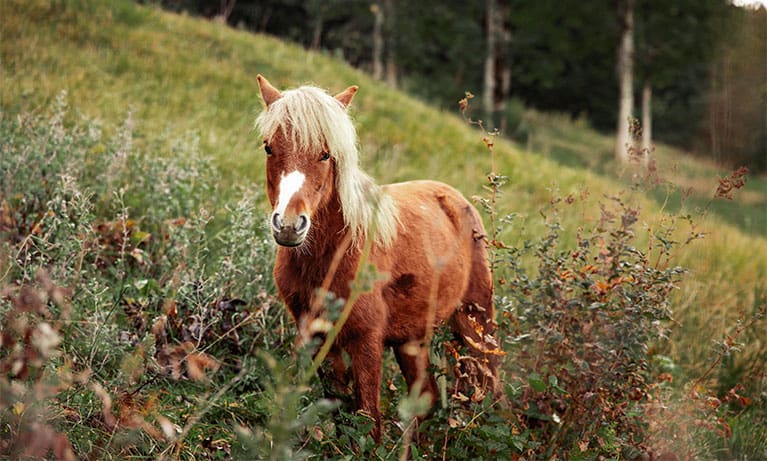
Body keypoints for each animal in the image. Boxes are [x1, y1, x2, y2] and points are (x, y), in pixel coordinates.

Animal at [255, 74, 500, 438]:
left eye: (325, 154)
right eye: (269, 147)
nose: (288, 225)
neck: (333, 257)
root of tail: (458, 200)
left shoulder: (366, 341)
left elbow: (368, 420)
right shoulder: (314, 333)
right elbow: (336, 404)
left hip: (475, 322)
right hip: (412, 339)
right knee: (426, 395)